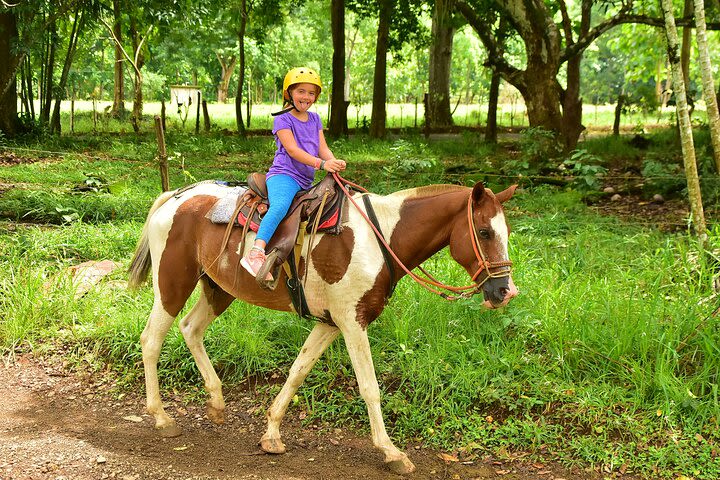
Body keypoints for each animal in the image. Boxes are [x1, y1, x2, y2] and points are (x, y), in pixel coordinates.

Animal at [125, 179, 516, 472]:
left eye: (506, 232)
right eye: (484, 232)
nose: (505, 291)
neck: (380, 238)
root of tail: (175, 197)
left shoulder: (330, 323)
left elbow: (298, 372)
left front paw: (272, 433)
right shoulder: (352, 321)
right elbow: (369, 387)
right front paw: (391, 452)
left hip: (218, 288)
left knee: (191, 328)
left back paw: (217, 403)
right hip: (173, 283)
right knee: (151, 340)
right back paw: (162, 418)